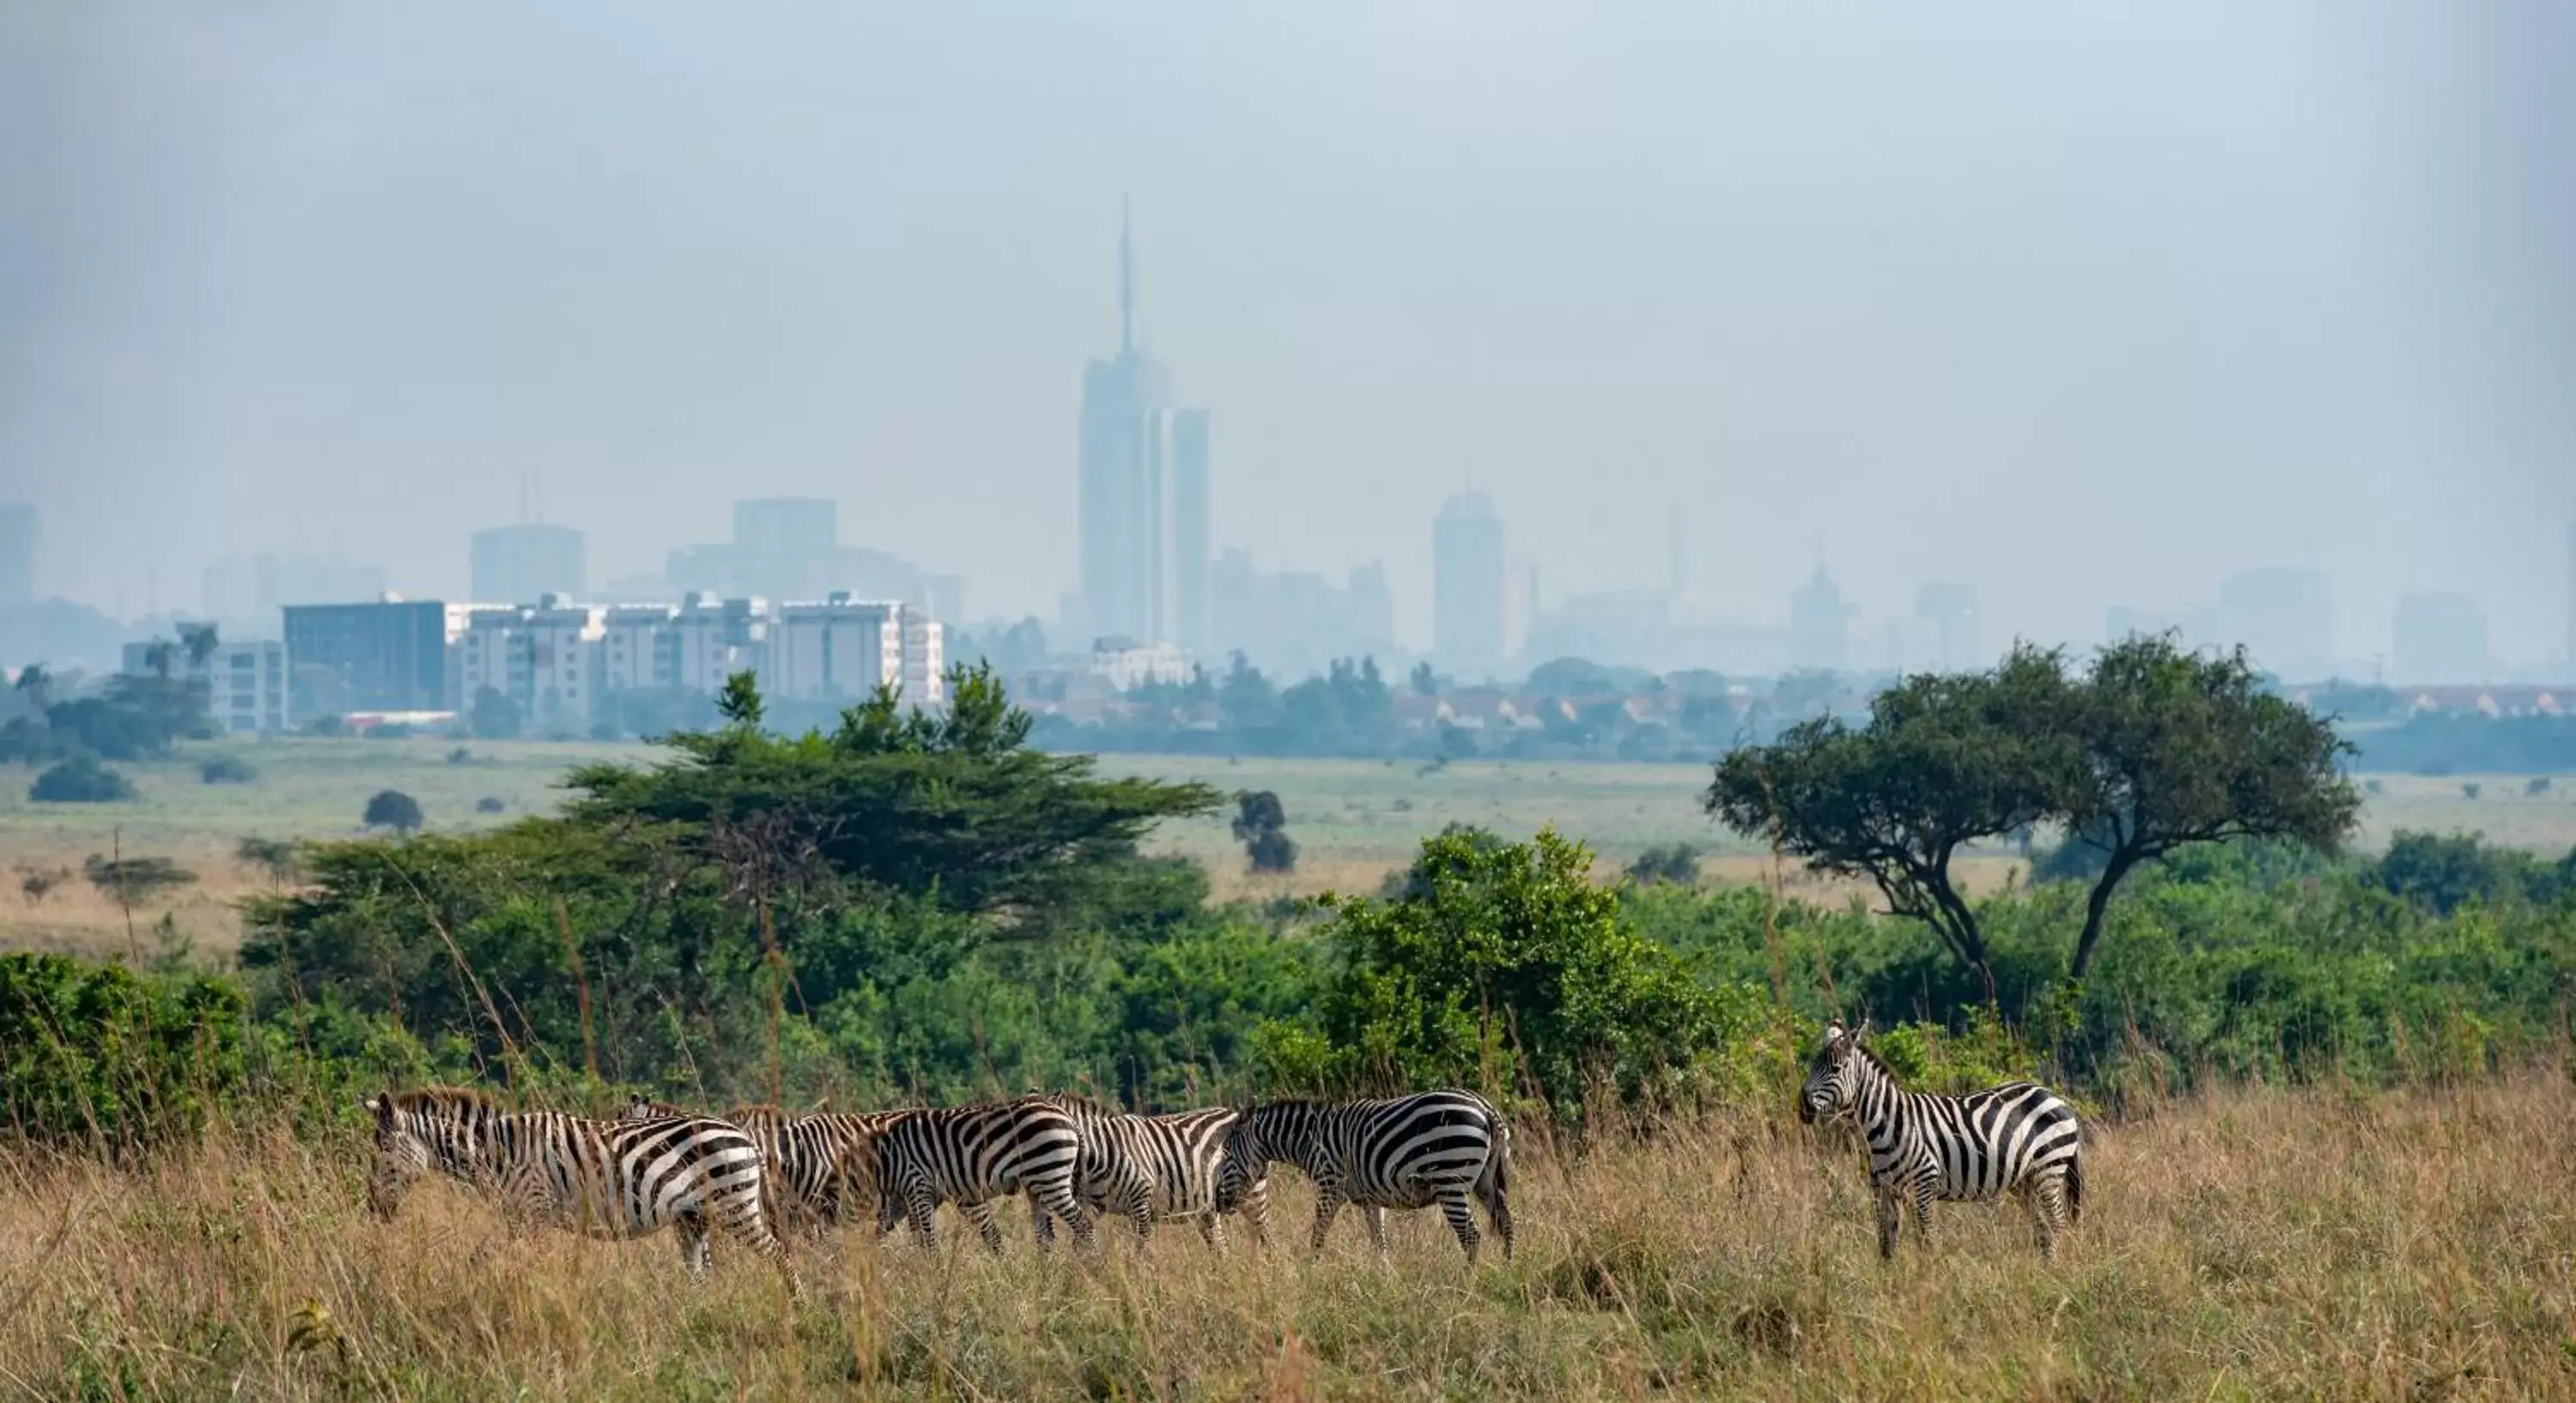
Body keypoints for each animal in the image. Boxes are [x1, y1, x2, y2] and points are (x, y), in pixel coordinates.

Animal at [363, 1081, 799, 1303]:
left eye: (382, 1155)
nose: (373, 1210)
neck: (497, 1151)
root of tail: (743, 1135)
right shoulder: (517, 1218)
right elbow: (480, 1258)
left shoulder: (534, 1212)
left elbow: (528, 1264)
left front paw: (538, 1299)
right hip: (694, 1217)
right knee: (699, 1274)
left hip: (734, 1205)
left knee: (781, 1255)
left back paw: (799, 1309)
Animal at [1020, 1091, 1273, 1246]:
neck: (1102, 1152)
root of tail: (1235, 1113)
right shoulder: (1094, 1205)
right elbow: (1082, 1240)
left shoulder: (1140, 1204)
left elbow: (1141, 1250)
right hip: (1209, 1208)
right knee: (1220, 1246)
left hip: (1252, 1193)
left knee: (1266, 1233)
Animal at [1226, 1081, 1504, 1256]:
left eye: (1225, 1153)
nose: (1224, 1201)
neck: (1310, 1140)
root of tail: (1485, 1108)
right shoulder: (1371, 1198)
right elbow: (1379, 1243)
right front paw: (1387, 1283)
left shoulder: (1331, 1185)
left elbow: (1317, 1235)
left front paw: (1309, 1273)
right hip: (1487, 1181)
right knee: (1506, 1228)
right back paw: (1505, 1272)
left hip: (1450, 1179)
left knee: (1471, 1237)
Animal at [1803, 1019, 2081, 1256]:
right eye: (1812, 1067)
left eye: (1835, 1069)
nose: (1802, 1104)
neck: (1888, 1124)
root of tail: (2053, 1097)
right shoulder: (1883, 1187)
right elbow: (1886, 1240)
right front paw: (1890, 1281)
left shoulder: (1924, 1180)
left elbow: (1926, 1238)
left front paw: (1927, 1277)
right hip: (2025, 1180)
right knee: (2042, 1227)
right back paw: (2042, 1269)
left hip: (2048, 1169)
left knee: (2056, 1222)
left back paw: (2055, 1270)